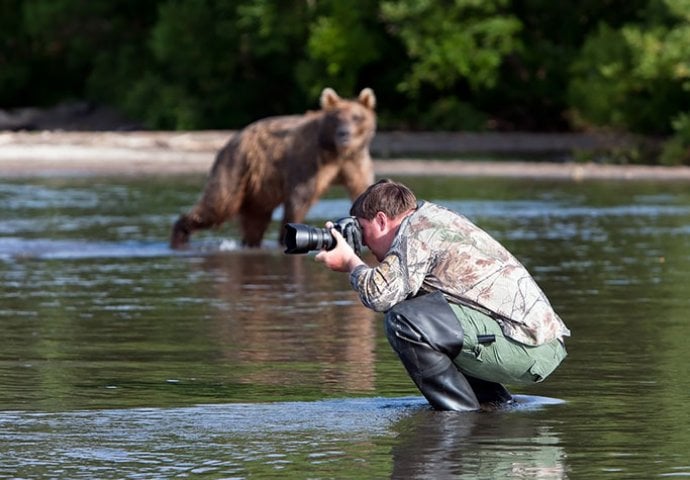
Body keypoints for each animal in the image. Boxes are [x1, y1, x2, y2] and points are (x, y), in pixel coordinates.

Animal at [171, 87, 376, 249]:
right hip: (236, 167)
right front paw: (286, 236)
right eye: (336, 118)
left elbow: (361, 189)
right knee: (219, 205)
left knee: (255, 220)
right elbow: (299, 198)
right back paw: (179, 236)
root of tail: (232, 139)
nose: (344, 134)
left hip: (259, 187)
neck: (336, 151)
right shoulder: (309, 161)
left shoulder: (355, 162)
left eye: (356, 117)